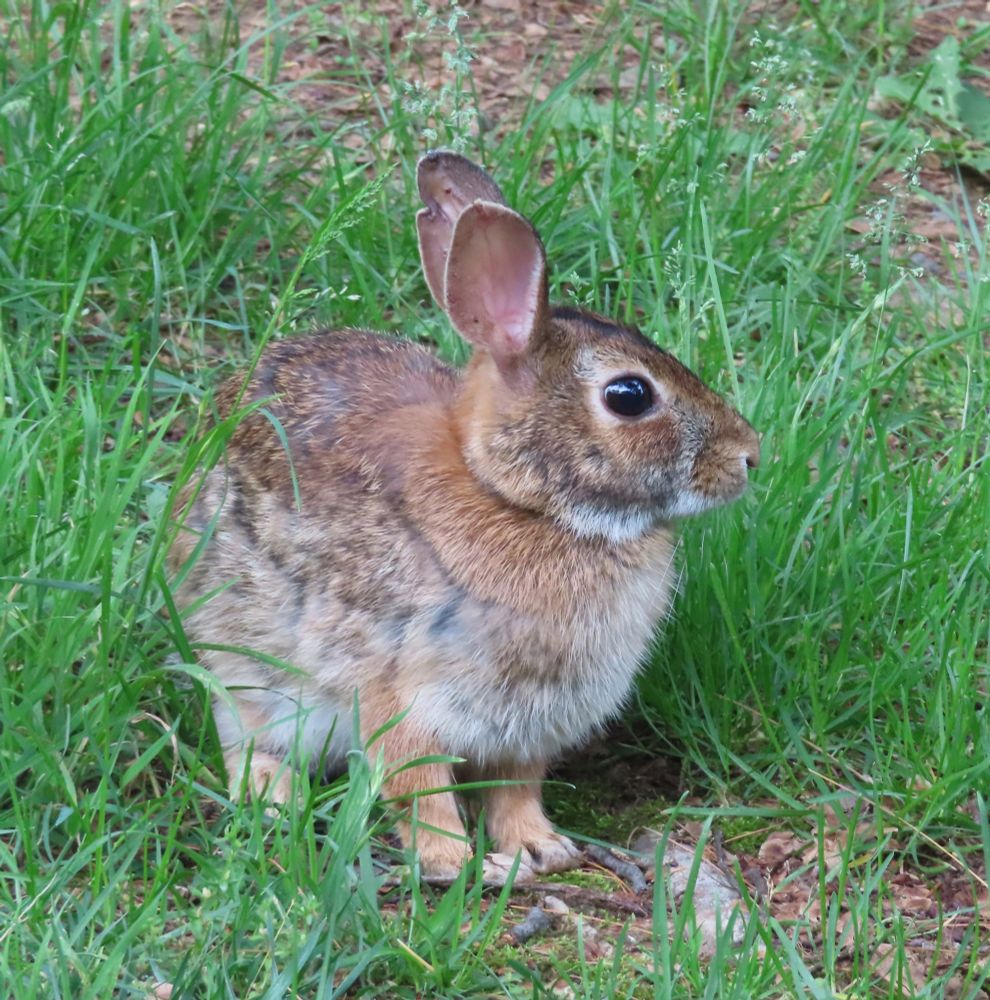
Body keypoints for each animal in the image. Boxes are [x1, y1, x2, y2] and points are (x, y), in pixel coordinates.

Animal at [168, 150, 760, 881]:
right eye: (629, 395)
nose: (748, 455)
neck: (524, 504)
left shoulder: (526, 727)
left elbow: (515, 789)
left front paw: (541, 847)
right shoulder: (403, 697)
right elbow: (418, 787)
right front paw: (453, 862)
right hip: (241, 661)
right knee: (243, 733)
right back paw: (275, 799)